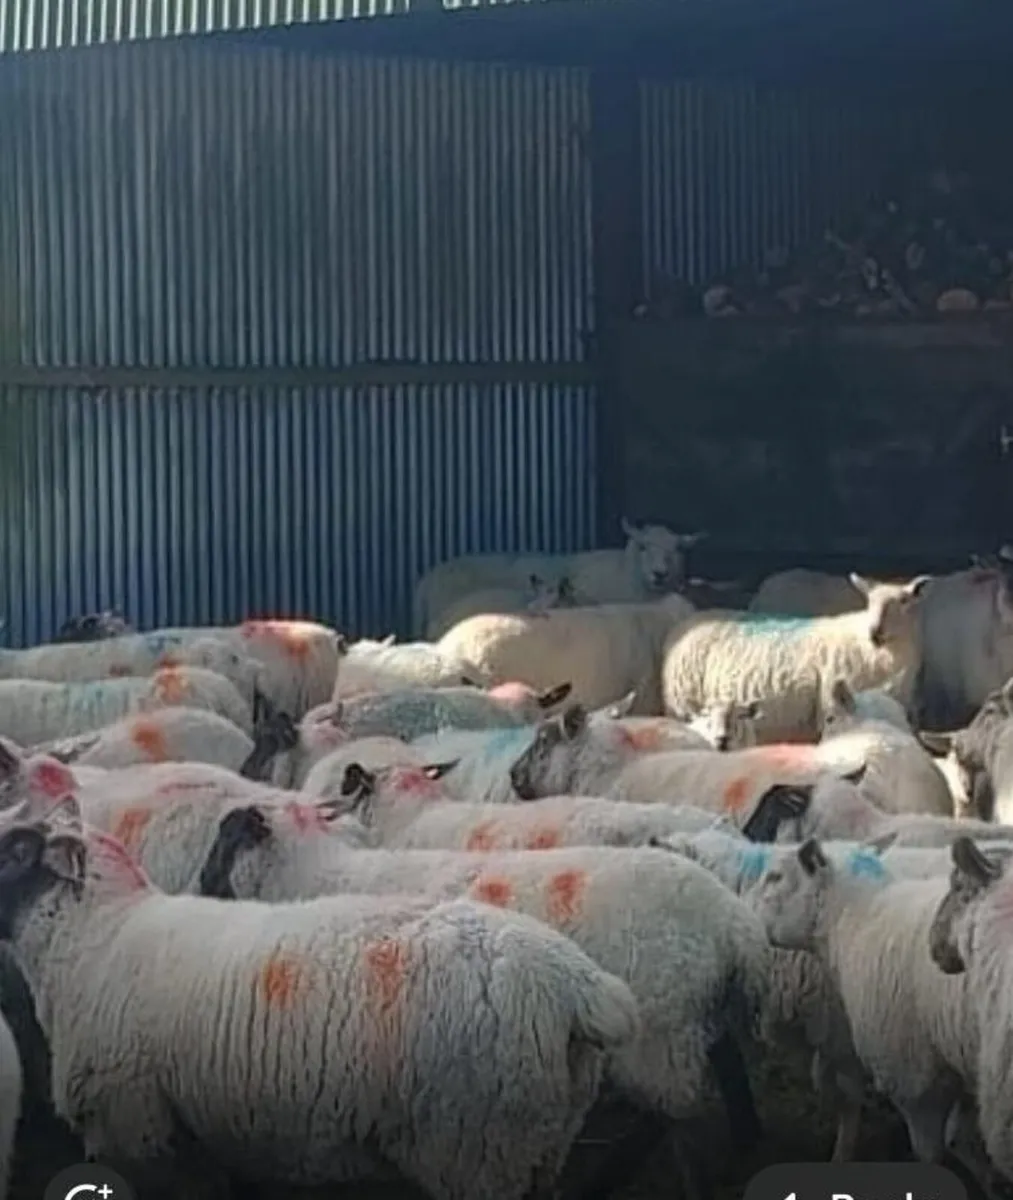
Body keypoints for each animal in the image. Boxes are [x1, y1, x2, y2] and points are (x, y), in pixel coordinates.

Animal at [0, 802, 639, 1200]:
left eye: (14, 851)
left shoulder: (136, 1127)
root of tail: (577, 982)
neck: (93, 937)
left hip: (476, 1145)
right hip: (543, 1140)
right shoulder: (195, 1135)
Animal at [199, 801, 772, 1166]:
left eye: (222, 842)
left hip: (657, 1035)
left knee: (667, 1114)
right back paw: (746, 1144)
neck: (316, 872)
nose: (199, 884)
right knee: (726, 1069)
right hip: (692, 1018)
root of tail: (733, 921)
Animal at [662, 574, 930, 743]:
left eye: (905, 601)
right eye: (869, 601)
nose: (875, 631)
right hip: (685, 707)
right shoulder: (830, 708)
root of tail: (689, 622)